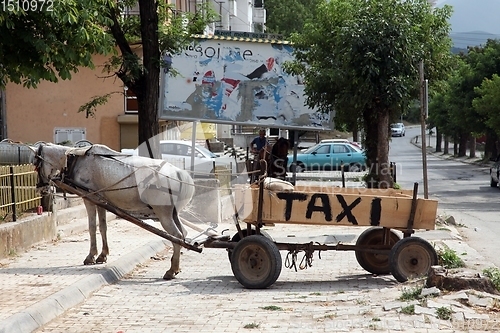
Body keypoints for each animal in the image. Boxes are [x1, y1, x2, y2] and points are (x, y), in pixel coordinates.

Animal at [32, 141, 194, 278]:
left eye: (36, 164)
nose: (40, 188)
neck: (77, 159)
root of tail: (178, 173)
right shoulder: (100, 201)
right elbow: (103, 226)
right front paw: (102, 255)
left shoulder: (88, 199)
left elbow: (92, 227)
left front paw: (91, 256)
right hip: (173, 213)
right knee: (182, 234)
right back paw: (176, 266)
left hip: (163, 213)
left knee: (177, 236)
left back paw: (171, 270)